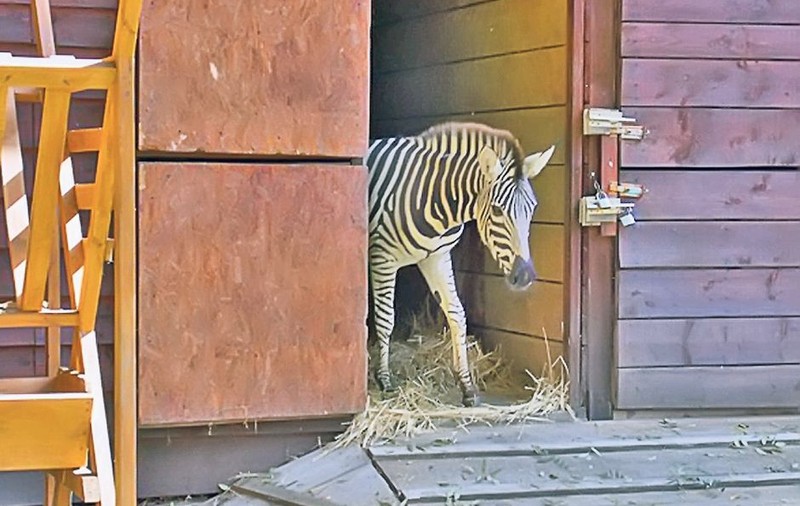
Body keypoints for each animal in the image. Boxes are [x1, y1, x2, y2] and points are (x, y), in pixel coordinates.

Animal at [366, 122, 555, 407]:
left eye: (532, 208)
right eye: (497, 210)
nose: (524, 276)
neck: (433, 196)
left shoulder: (437, 256)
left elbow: (457, 314)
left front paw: (467, 386)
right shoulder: (382, 258)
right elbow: (385, 319)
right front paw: (385, 380)